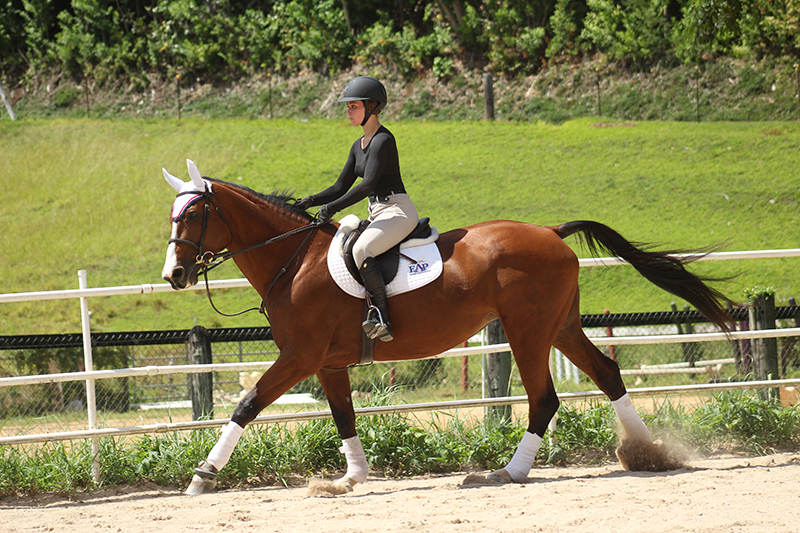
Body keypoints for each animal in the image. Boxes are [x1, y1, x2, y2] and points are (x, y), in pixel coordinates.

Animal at [162, 159, 732, 494]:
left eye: (191, 217)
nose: (174, 276)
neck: (293, 260)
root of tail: (551, 231)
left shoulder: (299, 356)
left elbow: (246, 405)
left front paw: (203, 475)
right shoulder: (327, 362)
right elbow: (344, 417)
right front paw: (350, 478)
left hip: (528, 332)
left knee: (544, 398)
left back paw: (509, 472)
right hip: (561, 328)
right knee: (608, 375)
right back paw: (647, 453)